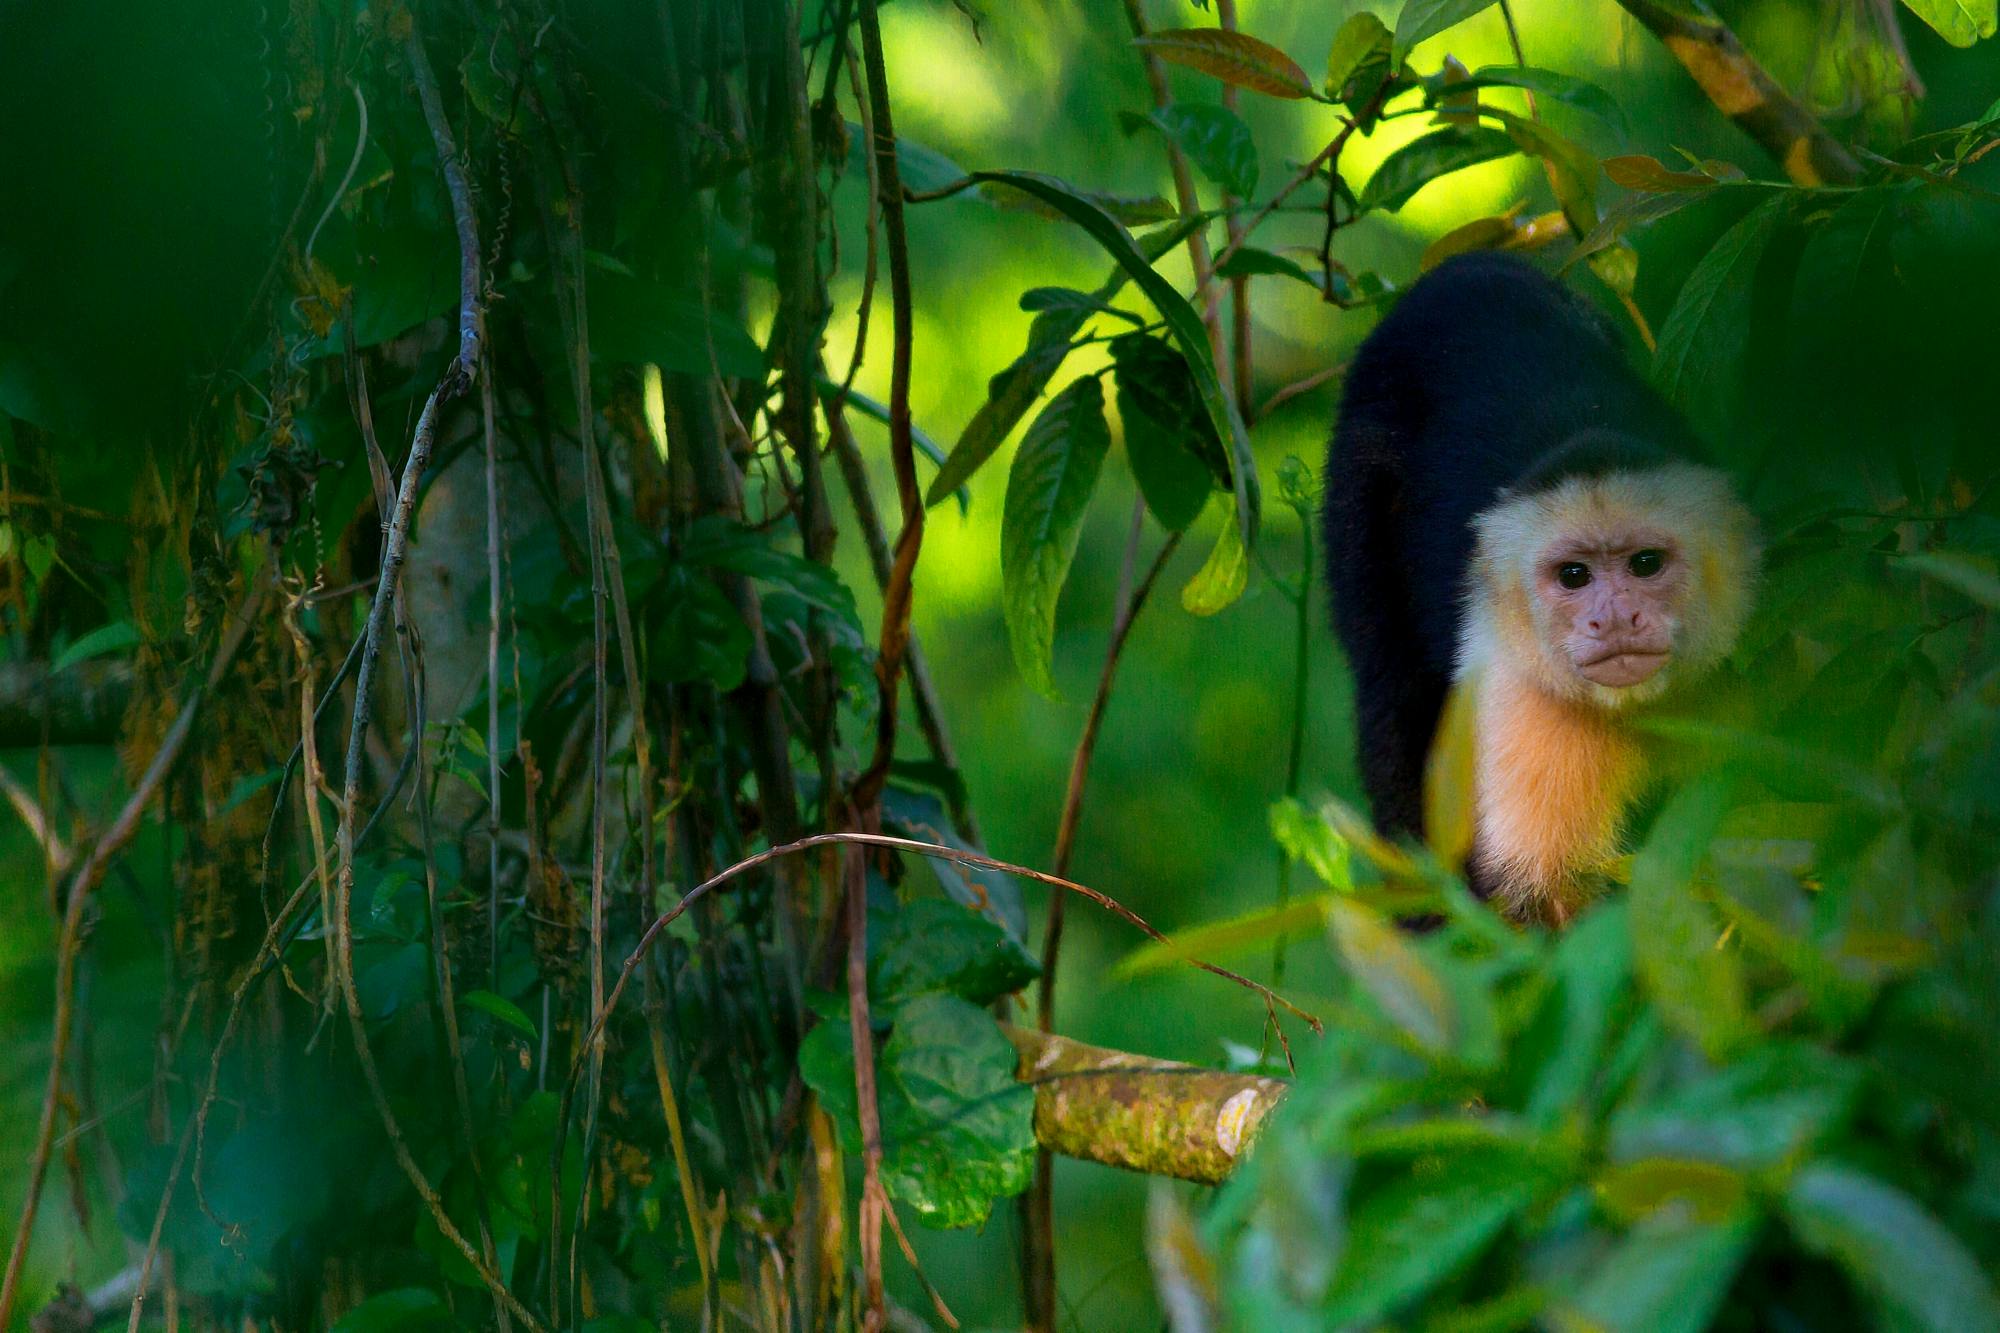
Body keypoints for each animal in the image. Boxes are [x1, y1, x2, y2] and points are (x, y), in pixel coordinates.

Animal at [1320, 252, 1760, 924]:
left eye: (1646, 564)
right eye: (1574, 576)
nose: (1614, 620)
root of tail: (1464, 266)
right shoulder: (1520, 689)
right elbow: (1541, 899)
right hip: (1358, 468)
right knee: (1392, 690)